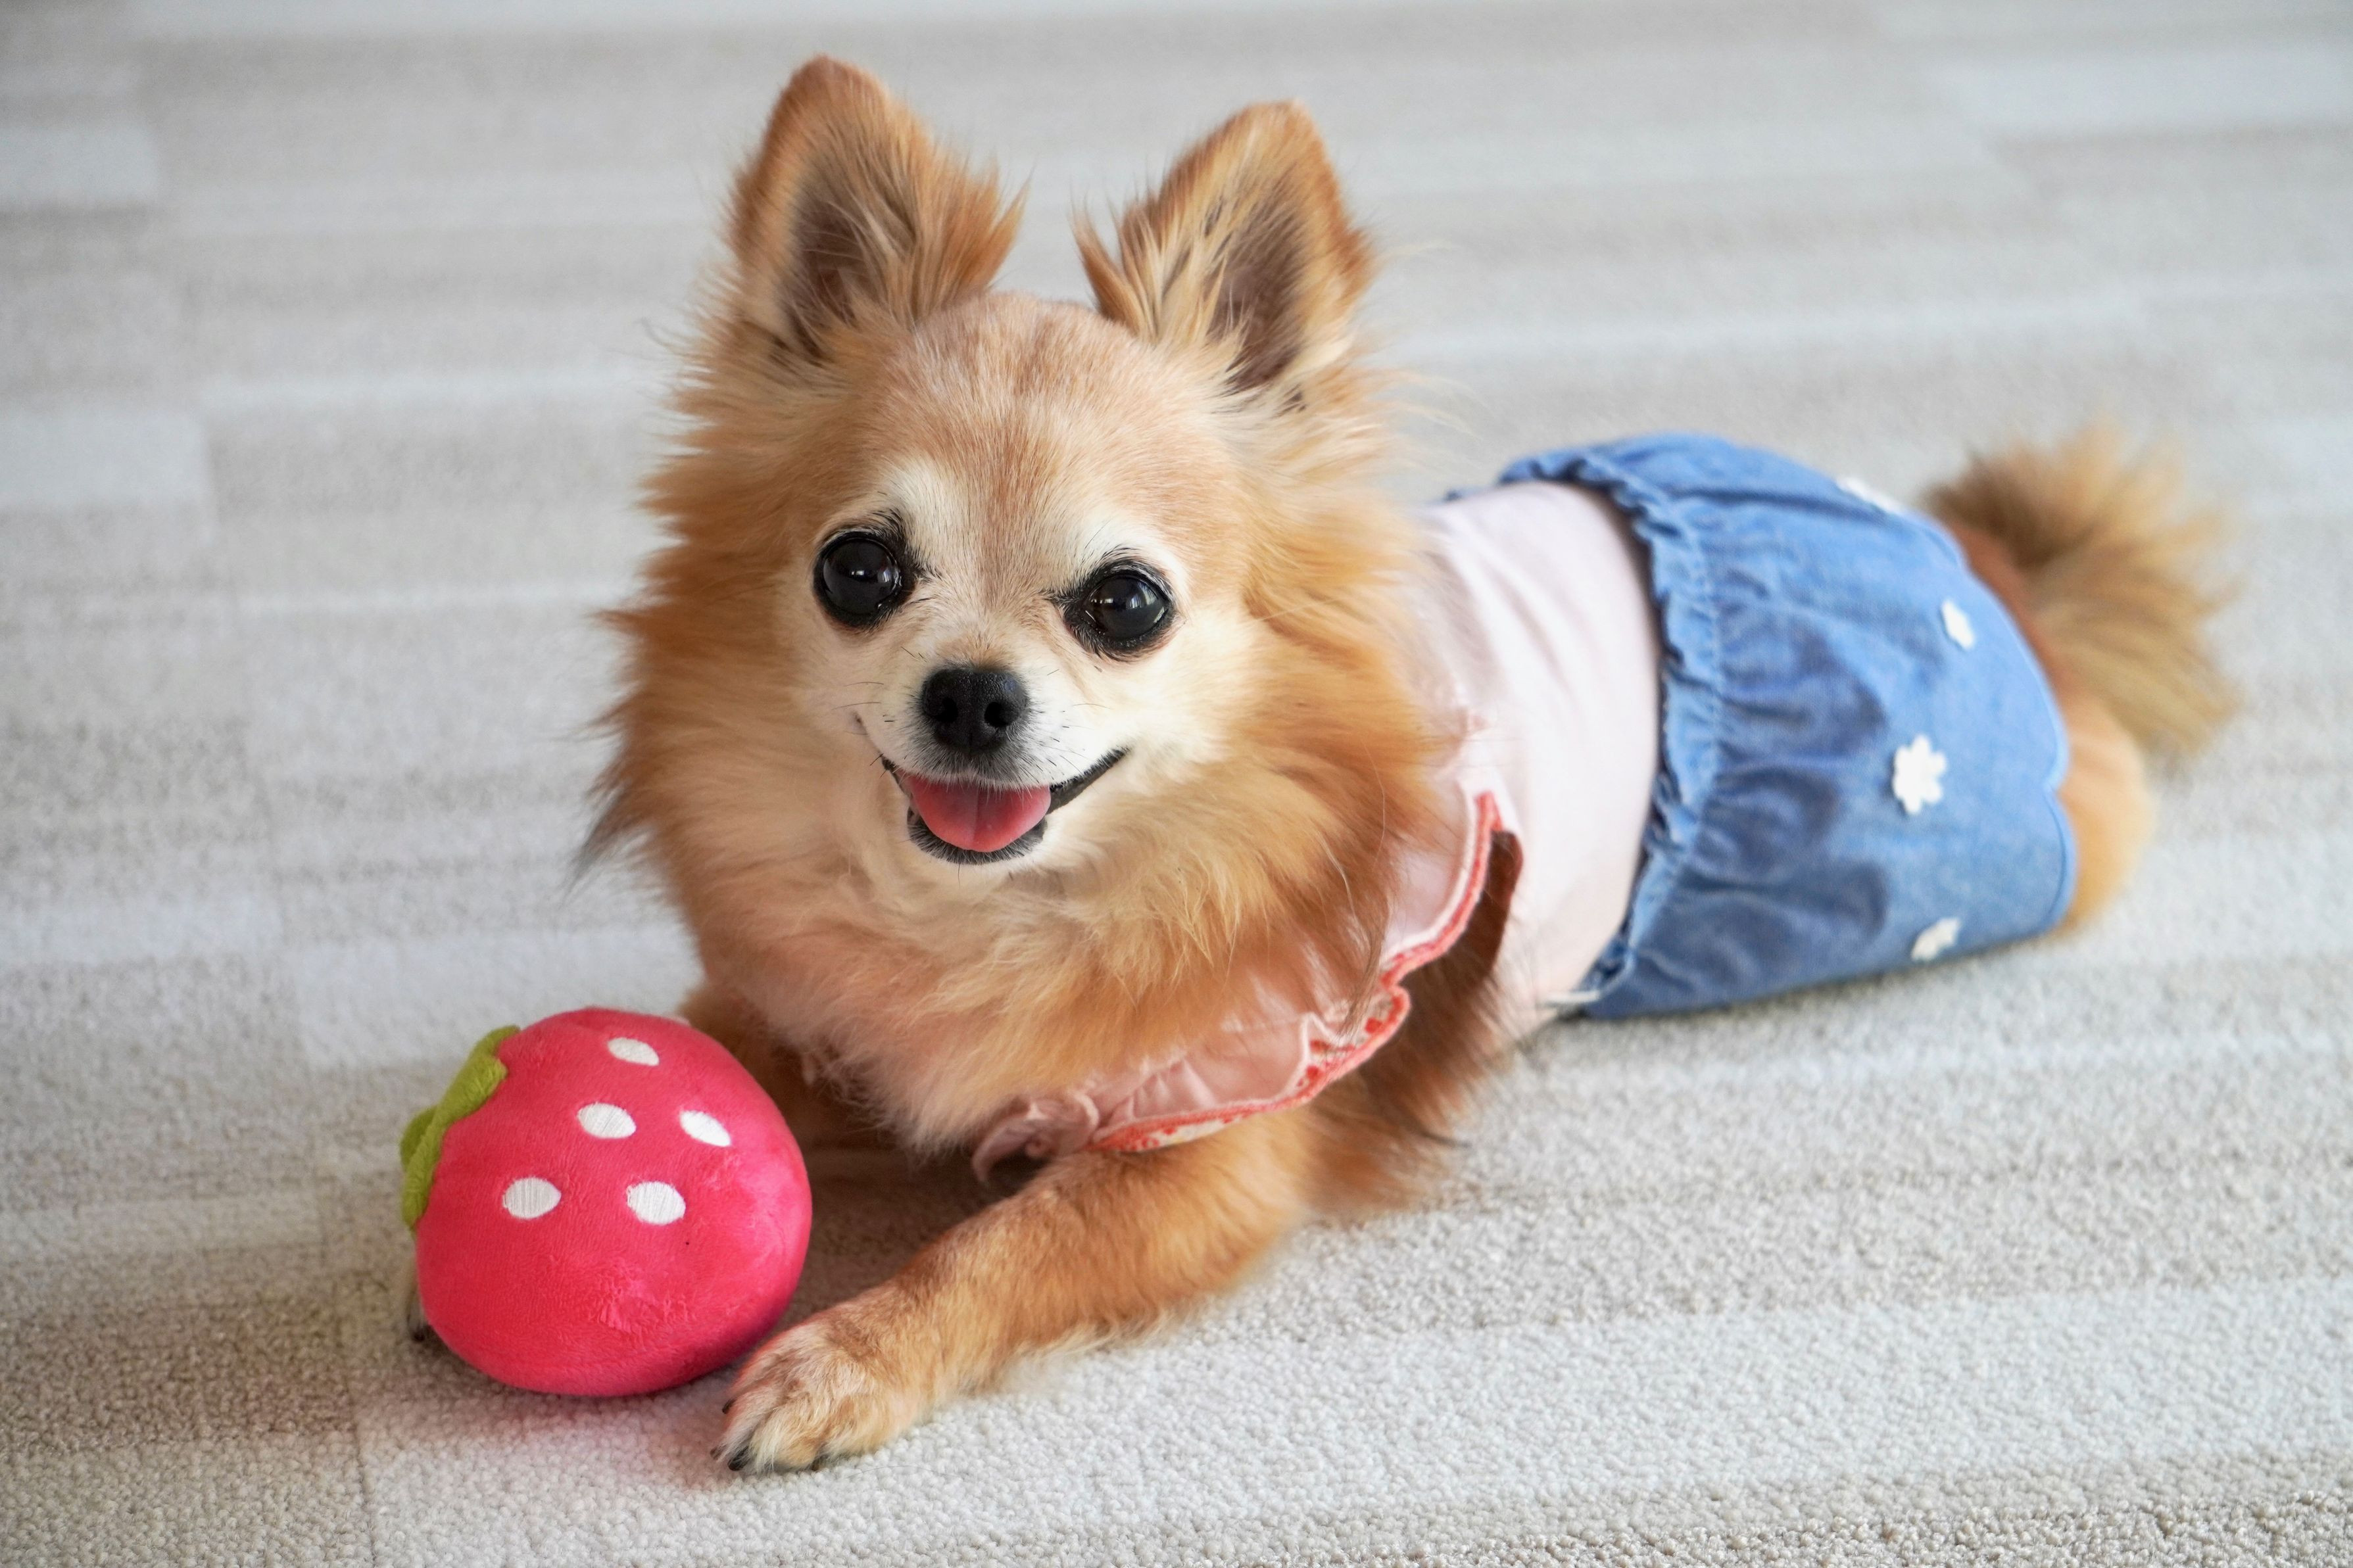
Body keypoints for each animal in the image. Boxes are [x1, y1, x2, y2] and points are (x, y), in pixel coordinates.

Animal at [585, 57, 2232, 1471]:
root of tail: (1996, 572)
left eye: (1127, 605)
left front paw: (843, 1353)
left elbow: (999, 1246)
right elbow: (688, 1046)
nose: (973, 694)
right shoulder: (799, 1017)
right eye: (859, 572)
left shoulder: (1204, 1150)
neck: (993, 915)